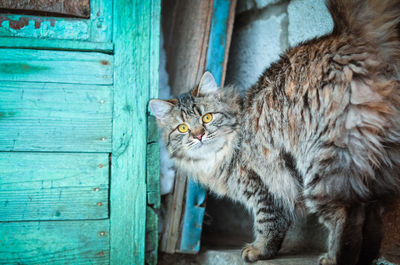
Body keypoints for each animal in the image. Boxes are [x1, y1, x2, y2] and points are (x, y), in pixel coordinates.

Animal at [151, 1, 400, 262]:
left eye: (206, 117)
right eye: (182, 128)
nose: (198, 135)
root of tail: (345, 36)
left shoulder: (263, 185)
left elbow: (268, 222)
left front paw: (260, 250)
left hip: (323, 163)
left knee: (346, 212)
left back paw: (334, 258)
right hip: (377, 159)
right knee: (373, 212)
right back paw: (366, 256)